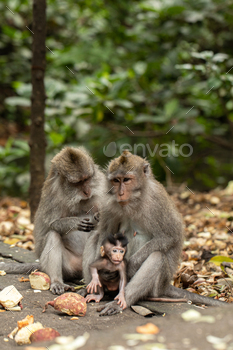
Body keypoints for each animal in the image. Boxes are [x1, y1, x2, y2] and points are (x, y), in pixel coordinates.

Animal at [0, 146, 105, 294]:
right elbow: (51, 225)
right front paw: (73, 222)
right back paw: (57, 282)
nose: (87, 191)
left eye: (87, 179)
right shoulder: (52, 195)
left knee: (97, 236)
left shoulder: (101, 185)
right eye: (78, 183)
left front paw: (99, 216)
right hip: (67, 267)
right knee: (53, 235)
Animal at [83, 149, 227, 316]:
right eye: (116, 180)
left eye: (126, 180)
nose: (120, 193)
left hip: (157, 286)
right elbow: (104, 234)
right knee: (94, 237)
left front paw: (130, 265)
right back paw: (96, 292)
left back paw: (121, 302)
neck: (135, 200)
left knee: (156, 257)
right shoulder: (108, 204)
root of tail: (165, 286)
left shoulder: (157, 201)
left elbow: (170, 236)